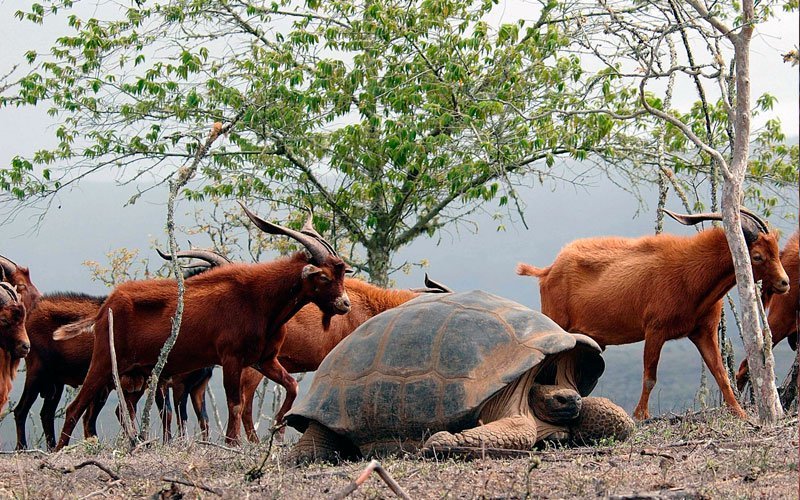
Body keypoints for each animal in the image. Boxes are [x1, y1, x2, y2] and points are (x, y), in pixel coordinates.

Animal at [520, 209, 788, 420]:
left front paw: (740, 413)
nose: (784, 283)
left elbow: (720, 373)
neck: (690, 274)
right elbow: (650, 377)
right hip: (556, 322)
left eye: (777, 251)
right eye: (757, 256)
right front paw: (640, 416)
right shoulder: (655, 330)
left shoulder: (703, 331)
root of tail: (548, 271)